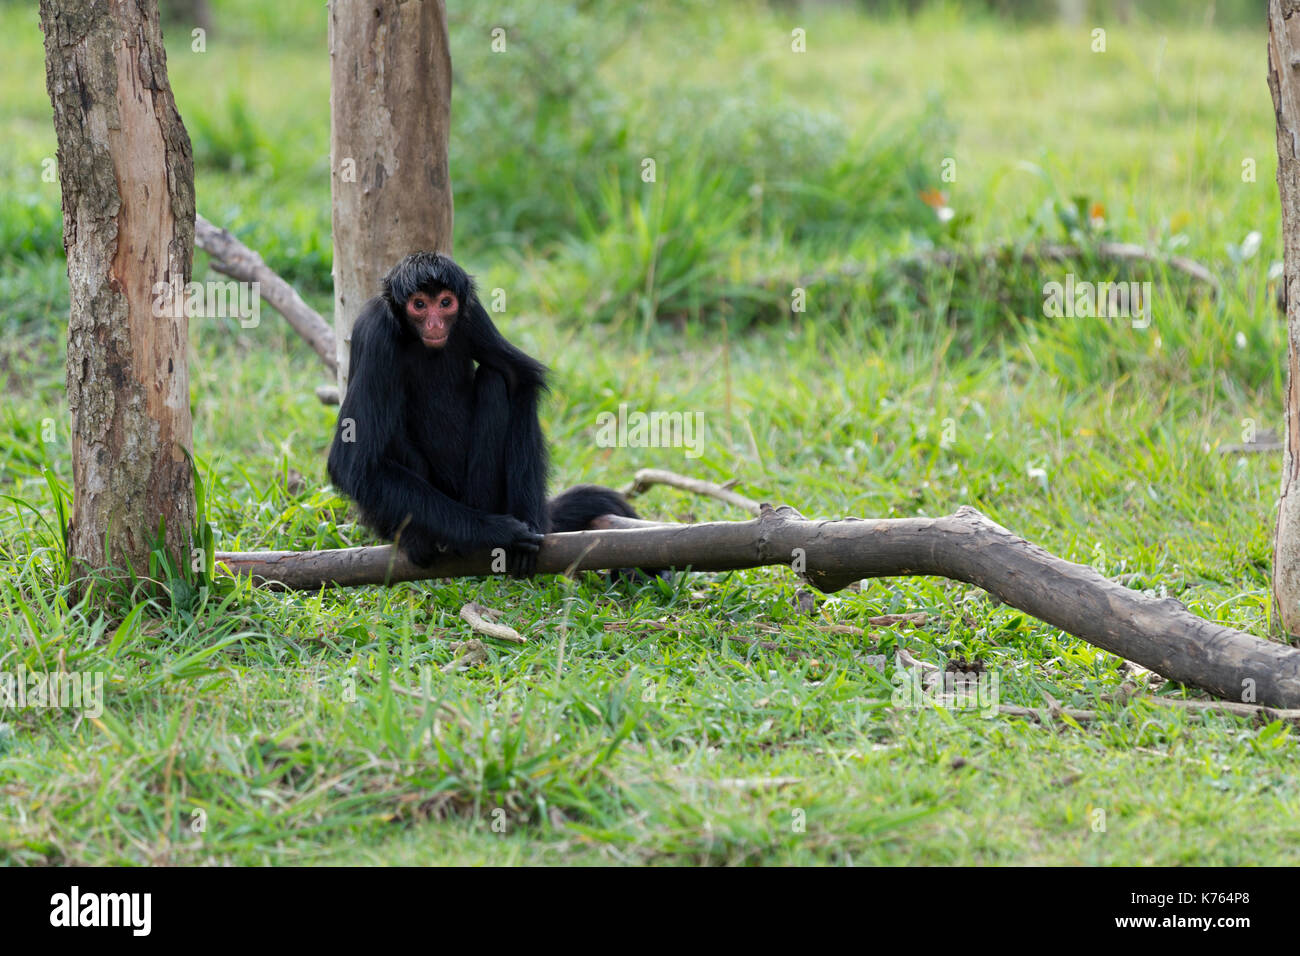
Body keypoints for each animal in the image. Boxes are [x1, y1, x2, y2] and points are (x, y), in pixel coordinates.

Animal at [327, 251, 642, 574]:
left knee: (493, 379)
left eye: (445, 303)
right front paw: (499, 531)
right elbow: (353, 465)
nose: (435, 325)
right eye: (419, 305)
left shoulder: (472, 313)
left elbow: (519, 379)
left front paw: (529, 521)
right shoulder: (377, 331)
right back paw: (426, 540)